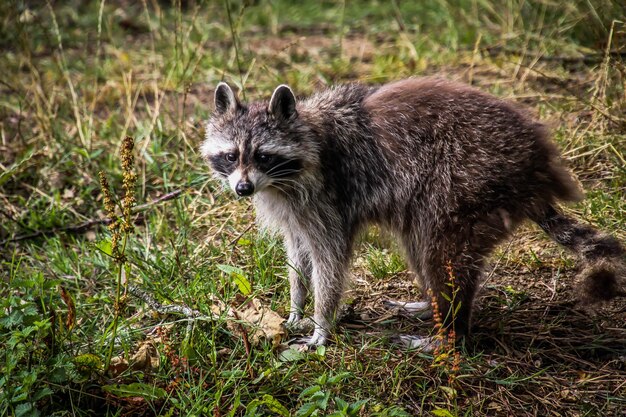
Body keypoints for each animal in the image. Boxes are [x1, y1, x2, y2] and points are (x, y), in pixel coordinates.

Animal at [201, 77, 624, 348]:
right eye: (231, 156)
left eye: (263, 156)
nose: (242, 189)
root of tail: (538, 166)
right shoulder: (294, 209)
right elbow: (298, 257)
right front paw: (296, 306)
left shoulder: (328, 198)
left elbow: (330, 261)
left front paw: (322, 323)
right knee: (420, 245)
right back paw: (431, 304)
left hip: (471, 178)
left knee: (440, 248)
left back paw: (451, 332)